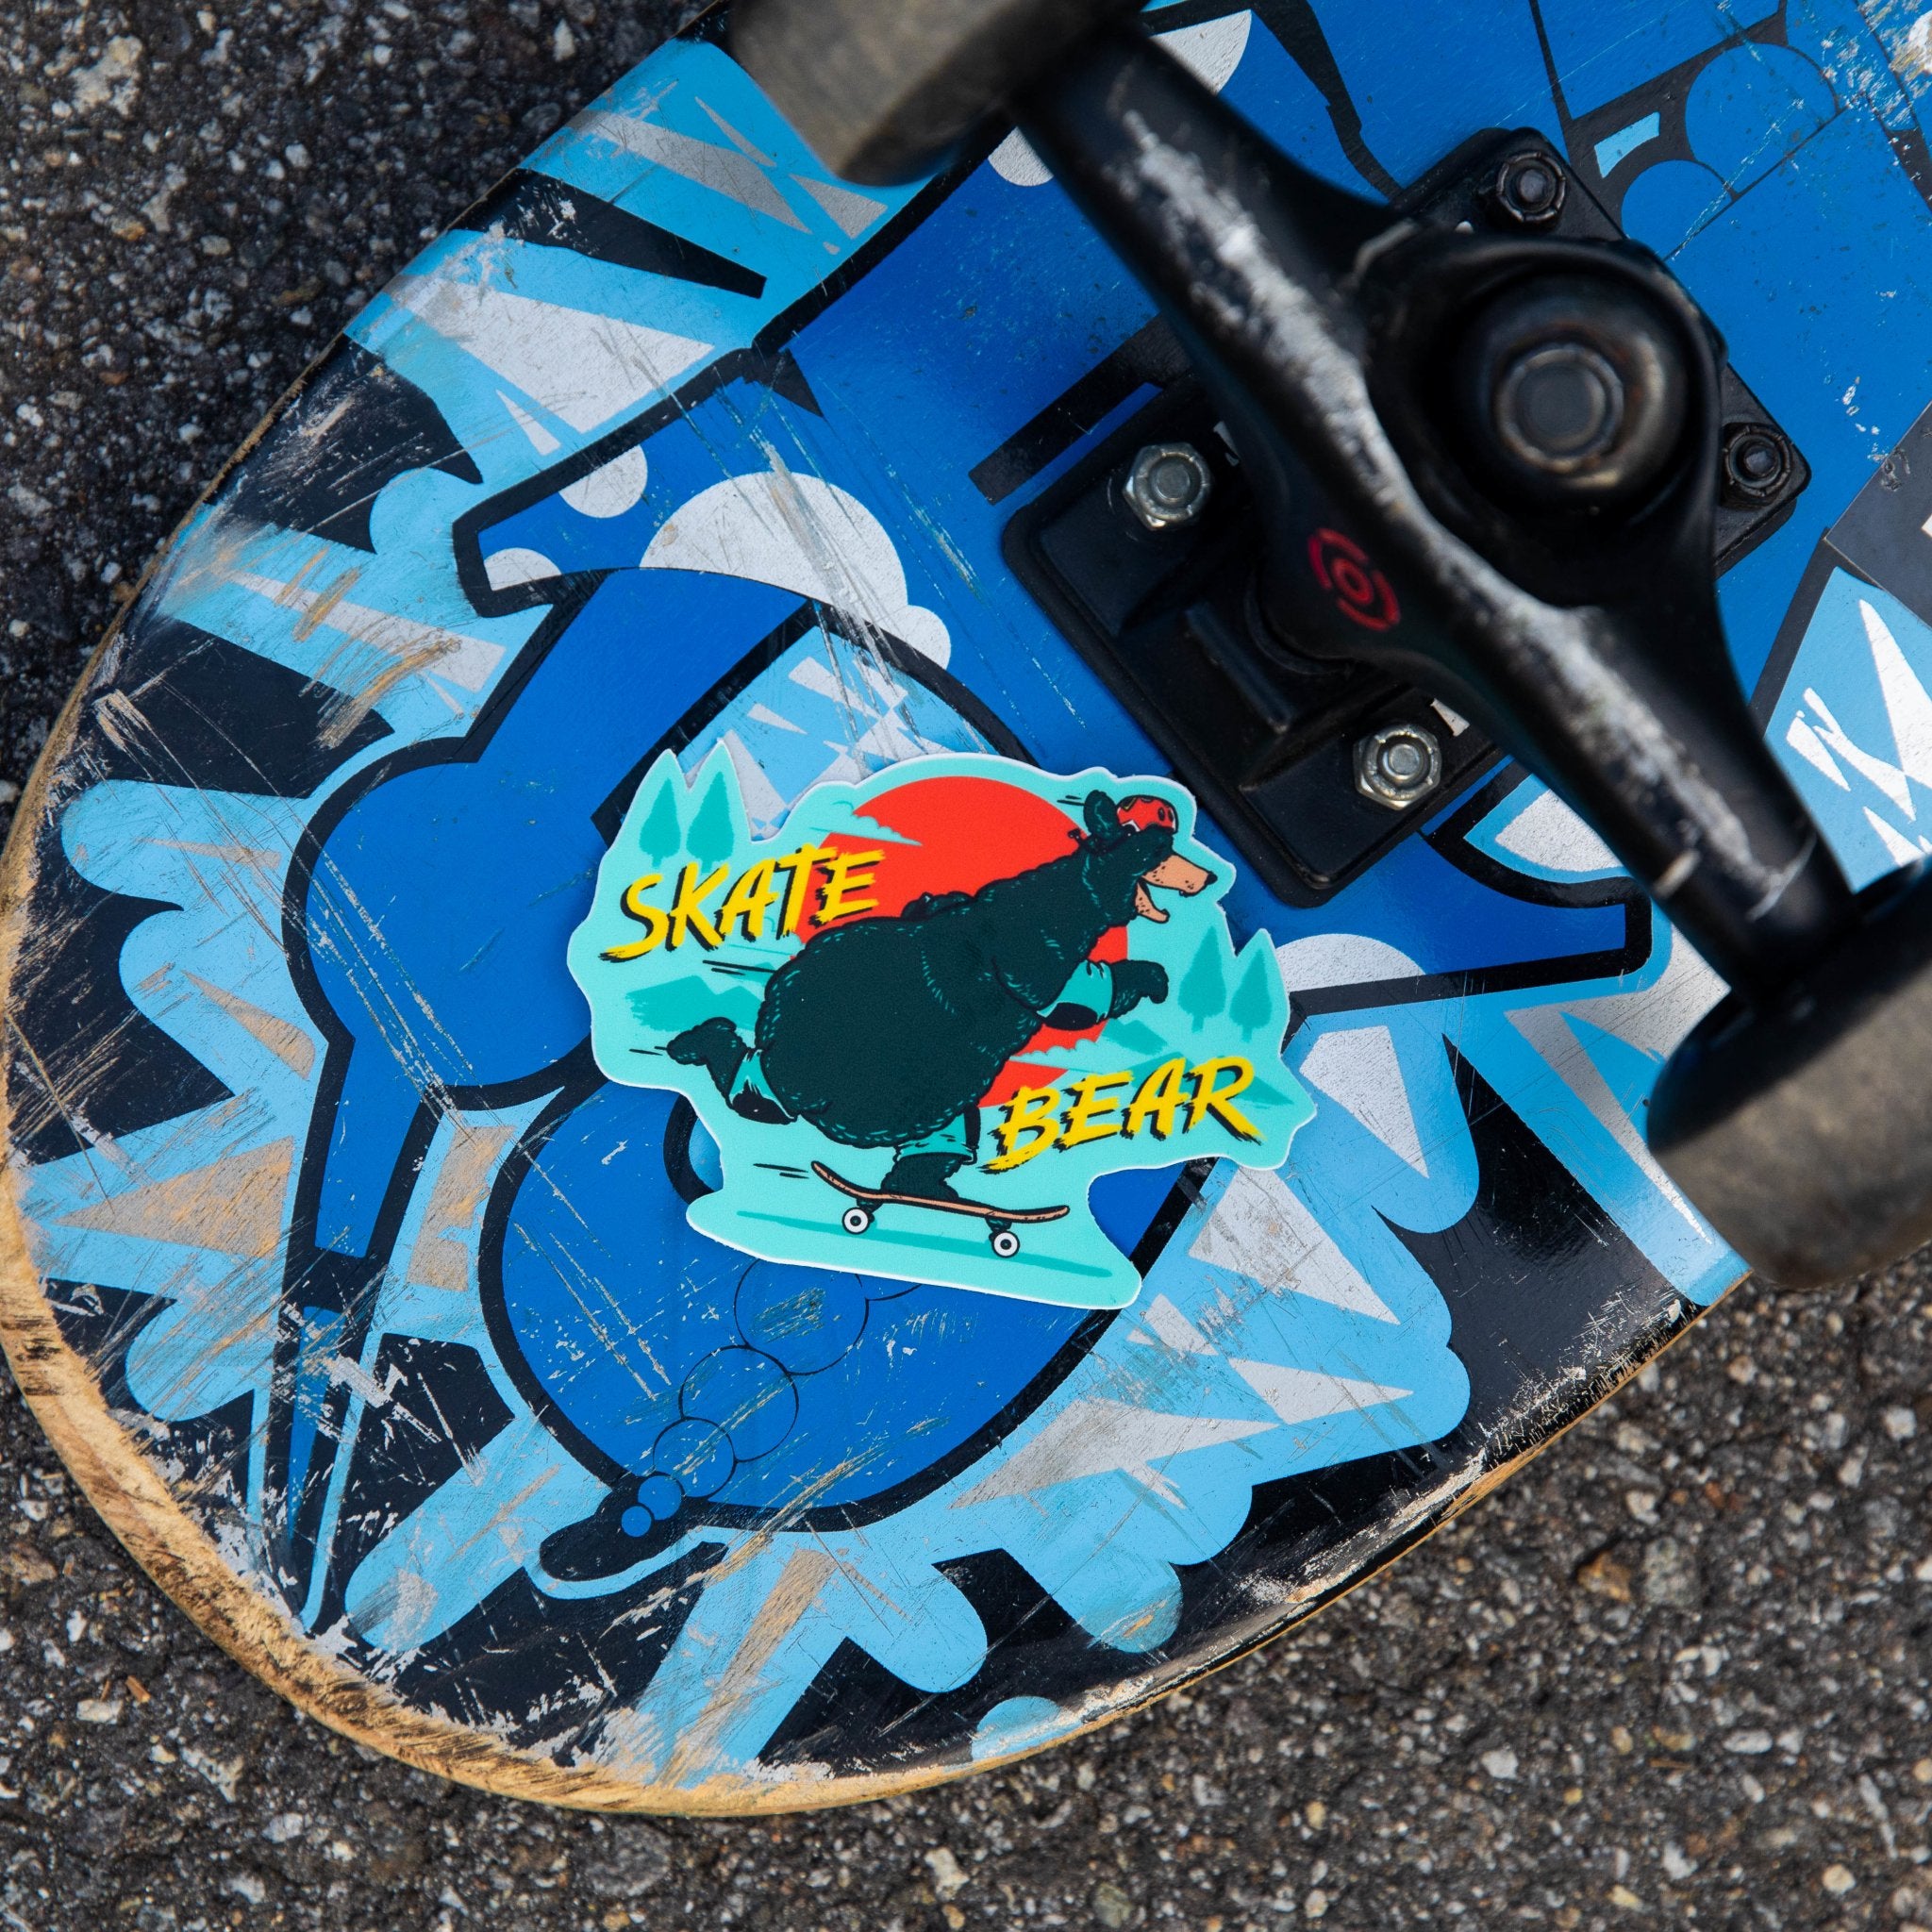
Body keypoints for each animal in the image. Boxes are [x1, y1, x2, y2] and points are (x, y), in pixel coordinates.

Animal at [668, 789, 1214, 1203]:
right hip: (916, 1092)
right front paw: (1151, 977)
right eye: (1160, 848)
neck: (1069, 895)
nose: (1208, 876)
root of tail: (801, 1081)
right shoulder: (1038, 958)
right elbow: (1079, 1001)